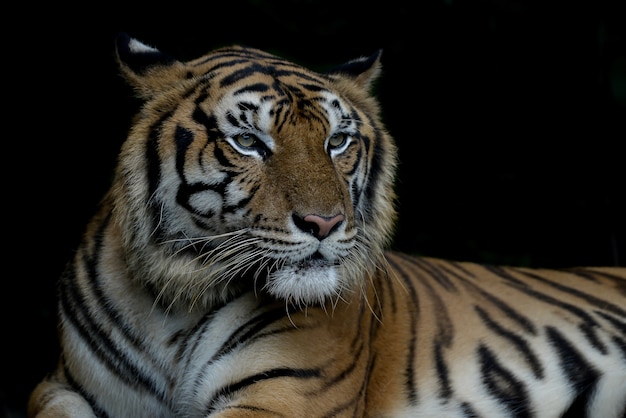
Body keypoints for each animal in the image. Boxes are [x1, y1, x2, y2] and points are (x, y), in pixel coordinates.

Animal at [28, 33, 624, 418]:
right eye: (248, 141)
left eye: (337, 141)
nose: (325, 222)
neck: (173, 303)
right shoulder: (60, 387)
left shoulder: (283, 395)